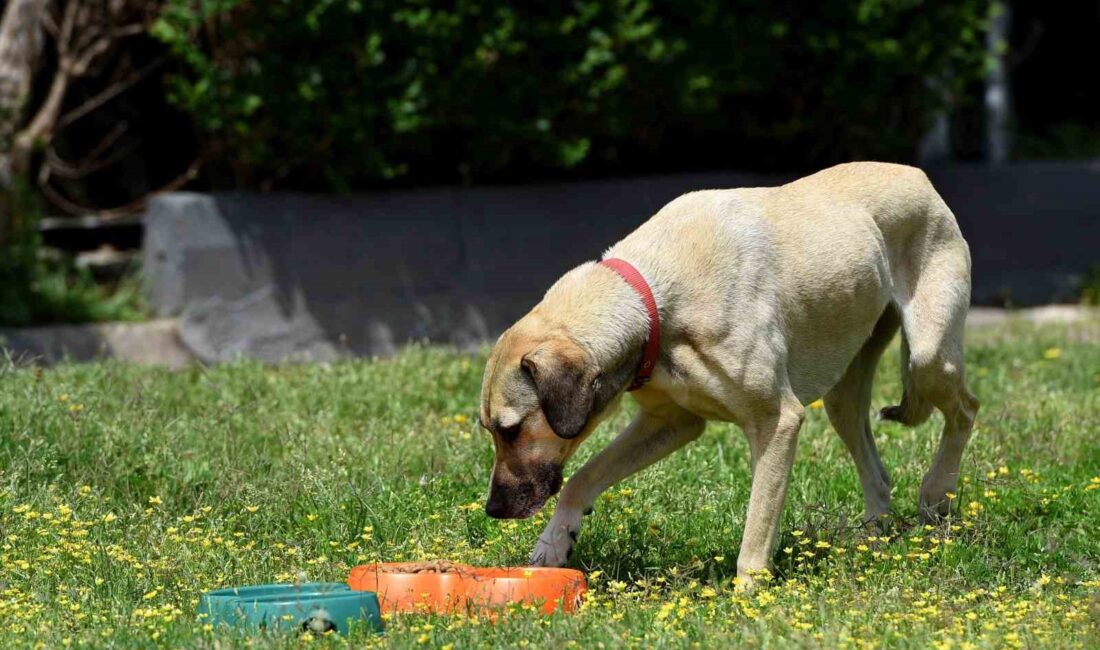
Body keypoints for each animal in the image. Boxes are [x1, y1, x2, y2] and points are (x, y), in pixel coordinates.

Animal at [477, 162, 976, 589]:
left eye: (512, 429)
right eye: (489, 430)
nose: (494, 509)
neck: (655, 298)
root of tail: (917, 174)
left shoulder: (778, 423)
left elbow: (758, 524)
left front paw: (748, 597)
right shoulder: (671, 423)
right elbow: (581, 477)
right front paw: (554, 541)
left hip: (929, 358)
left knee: (966, 410)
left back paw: (936, 495)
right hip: (844, 392)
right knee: (877, 469)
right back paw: (873, 538)